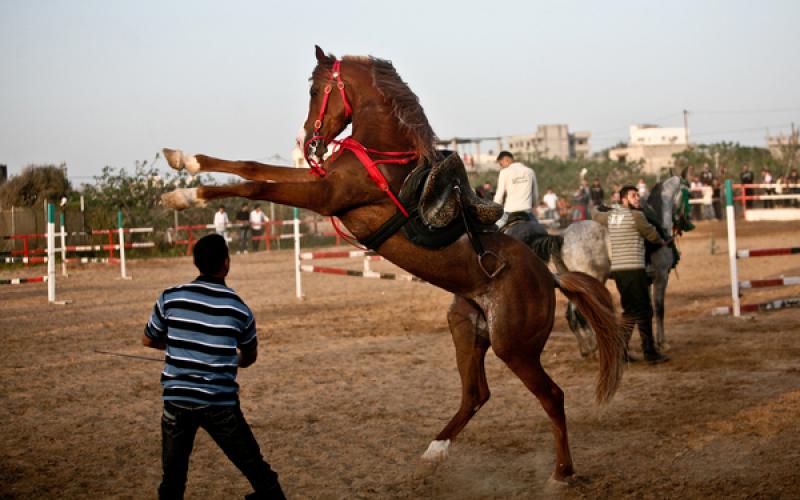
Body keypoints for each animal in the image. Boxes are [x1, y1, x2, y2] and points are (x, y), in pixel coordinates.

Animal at [161, 47, 624, 484]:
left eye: (316, 90)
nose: (310, 142)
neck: (385, 156)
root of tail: (549, 277)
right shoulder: (321, 185)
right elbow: (252, 166)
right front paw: (183, 162)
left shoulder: (325, 194)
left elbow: (257, 183)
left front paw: (184, 195)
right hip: (467, 328)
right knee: (476, 395)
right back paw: (432, 455)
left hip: (515, 347)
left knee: (552, 397)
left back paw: (560, 473)